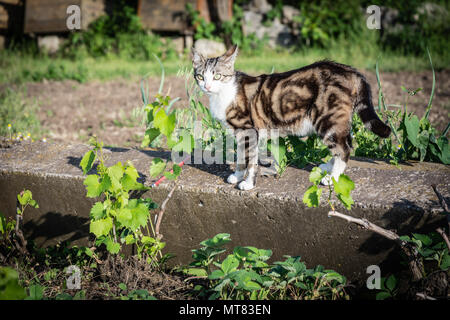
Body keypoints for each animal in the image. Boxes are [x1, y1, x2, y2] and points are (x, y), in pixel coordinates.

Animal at [191, 45, 390, 190]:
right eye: (200, 76)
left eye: (217, 76)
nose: (207, 86)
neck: (224, 94)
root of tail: (350, 70)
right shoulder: (239, 133)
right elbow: (241, 157)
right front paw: (237, 175)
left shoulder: (248, 130)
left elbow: (251, 160)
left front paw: (247, 183)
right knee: (346, 141)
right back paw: (328, 167)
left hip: (327, 118)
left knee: (345, 148)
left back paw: (332, 177)